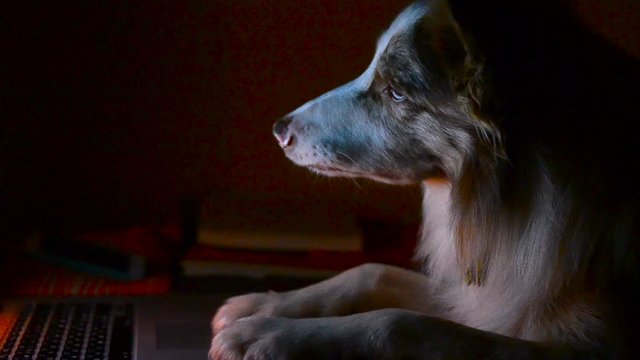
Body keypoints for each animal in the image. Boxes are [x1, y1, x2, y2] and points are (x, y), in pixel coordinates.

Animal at [211, 0, 640, 358]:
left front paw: (270, 334)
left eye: (396, 92)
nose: (279, 131)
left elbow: (397, 322)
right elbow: (371, 269)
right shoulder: (479, 293)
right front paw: (263, 305)